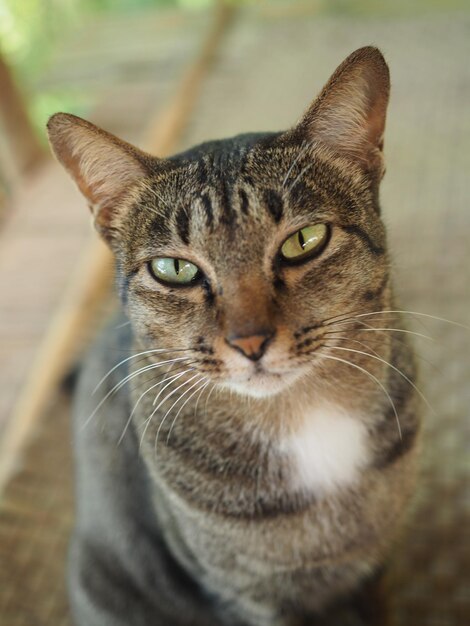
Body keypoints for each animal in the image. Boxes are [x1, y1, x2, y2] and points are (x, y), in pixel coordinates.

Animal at [46, 46, 418, 620]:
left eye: (304, 241)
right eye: (175, 269)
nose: (249, 341)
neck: (303, 420)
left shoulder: (377, 565)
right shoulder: (247, 596)